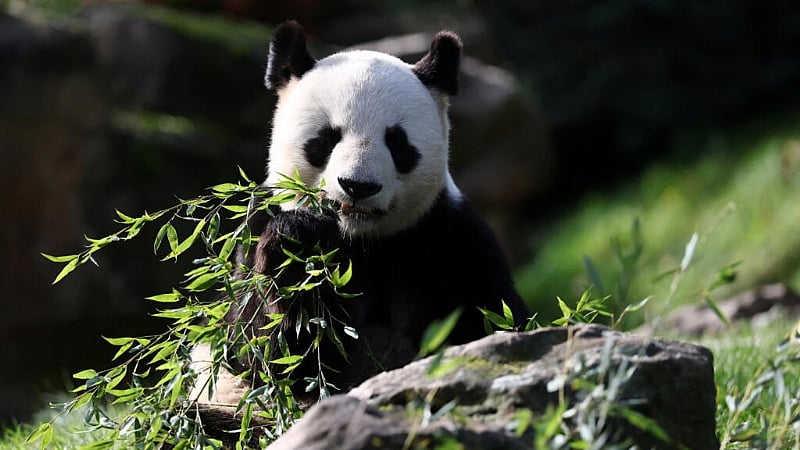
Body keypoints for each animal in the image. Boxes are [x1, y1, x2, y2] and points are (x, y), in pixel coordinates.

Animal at [191, 20, 529, 418]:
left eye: (397, 142)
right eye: (326, 138)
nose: (357, 186)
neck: (361, 239)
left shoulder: (450, 238)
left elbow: (494, 323)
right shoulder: (258, 224)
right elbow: (262, 352)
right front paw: (299, 243)